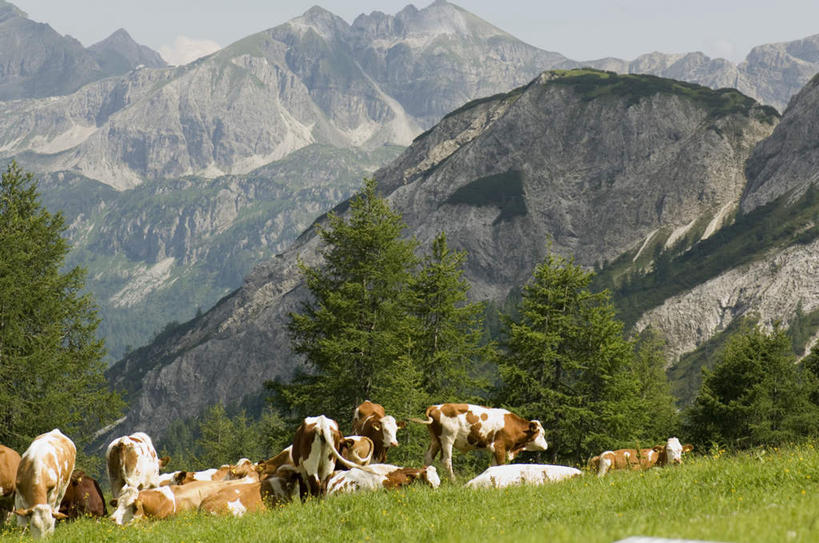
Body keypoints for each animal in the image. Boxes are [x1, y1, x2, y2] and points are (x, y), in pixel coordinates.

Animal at [410, 402, 552, 482]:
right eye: (542, 433)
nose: (546, 446)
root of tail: (436, 407)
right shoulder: (500, 447)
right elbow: (501, 465)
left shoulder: (495, 450)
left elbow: (494, 466)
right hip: (447, 439)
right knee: (446, 460)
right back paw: (454, 481)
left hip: (435, 440)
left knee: (428, 458)